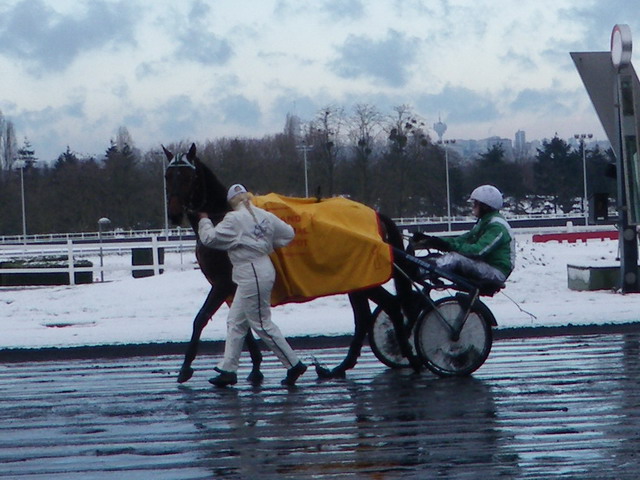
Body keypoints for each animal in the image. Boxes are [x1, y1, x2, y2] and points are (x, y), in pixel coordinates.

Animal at [165, 142, 420, 382]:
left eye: (188, 177)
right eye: (168, 176)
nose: (174, 214)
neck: (223, 216)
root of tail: (376, 215)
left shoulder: (223, 283)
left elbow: (202, 318)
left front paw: (186, 368)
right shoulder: (233, 286)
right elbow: (243, 327)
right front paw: (253, 368)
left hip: (364, 276)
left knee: (389, 307)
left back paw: (406, 355)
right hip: (358, 280)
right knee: (370, 315)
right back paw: (343, 367)